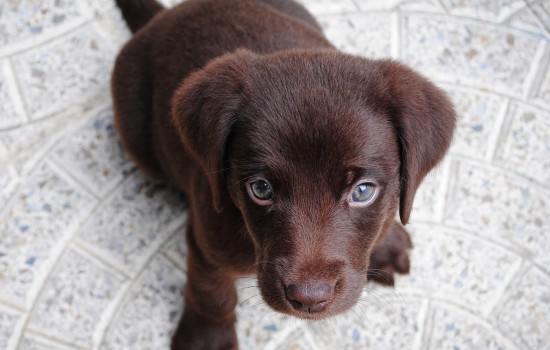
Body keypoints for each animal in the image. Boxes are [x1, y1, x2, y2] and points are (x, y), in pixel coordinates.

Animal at [111, 0, 458, 348]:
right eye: (261, 189)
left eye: (363, 191)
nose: (309, 298)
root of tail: (163, 16)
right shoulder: (206, 239)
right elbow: (211, 292)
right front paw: (208, 337)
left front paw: (386, 243)